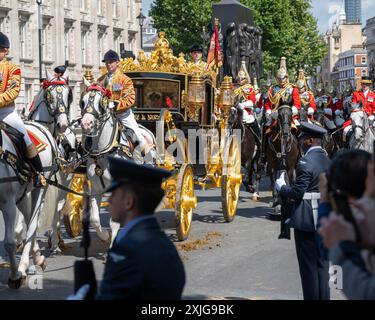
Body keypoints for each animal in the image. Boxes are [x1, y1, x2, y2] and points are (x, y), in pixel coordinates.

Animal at [81, 79, 157, 244]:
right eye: (82, 101)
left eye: (101, 102)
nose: (86, 124)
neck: (103, 153)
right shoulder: (96, 189)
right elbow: (95, 219)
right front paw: (104, 236)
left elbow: (114, 222)